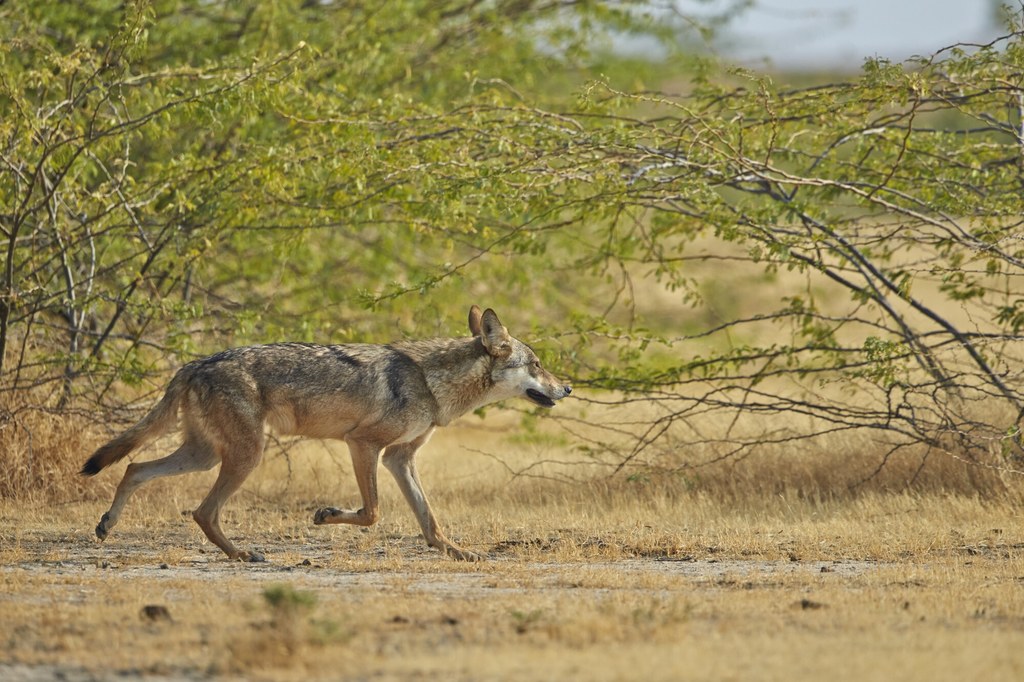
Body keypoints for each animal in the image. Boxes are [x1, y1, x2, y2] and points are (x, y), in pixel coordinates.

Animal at [79, 305, 573, 561]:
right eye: (537, 365)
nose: (568, 388)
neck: (432, 383)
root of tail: (194, 363)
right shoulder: (364, 445)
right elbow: (372, 513)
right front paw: (324, 515)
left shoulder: (400, 458)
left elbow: (429, 519)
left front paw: (457, 552)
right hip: (243, 455)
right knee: (202, 511)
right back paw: (241, 555)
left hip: (206, 455)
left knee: (135, 467)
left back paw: (106, 525)